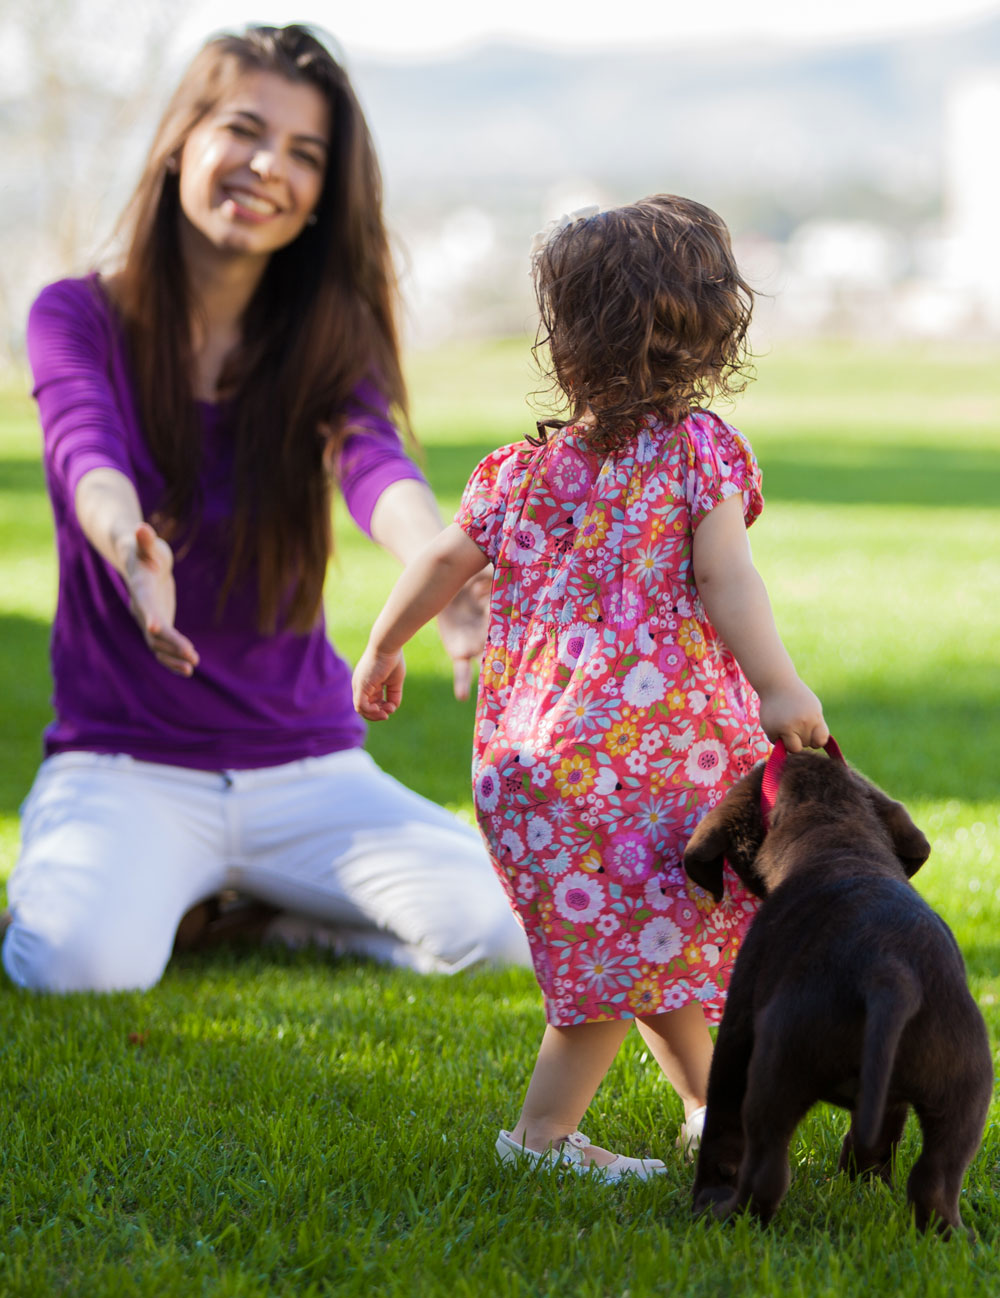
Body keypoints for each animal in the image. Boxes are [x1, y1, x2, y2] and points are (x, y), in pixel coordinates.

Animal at [680, 752, 987, 1235]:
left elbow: (722, 1128)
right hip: (965, 1089)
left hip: (777, 1070)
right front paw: (864, 1184)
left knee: (765, 1169)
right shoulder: (890, 1098)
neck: (840, 843)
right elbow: (878, 1140)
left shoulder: (736, 1036)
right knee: (936, 1179)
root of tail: (889, 972)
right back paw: (951, 1235)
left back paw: (725, 1212)